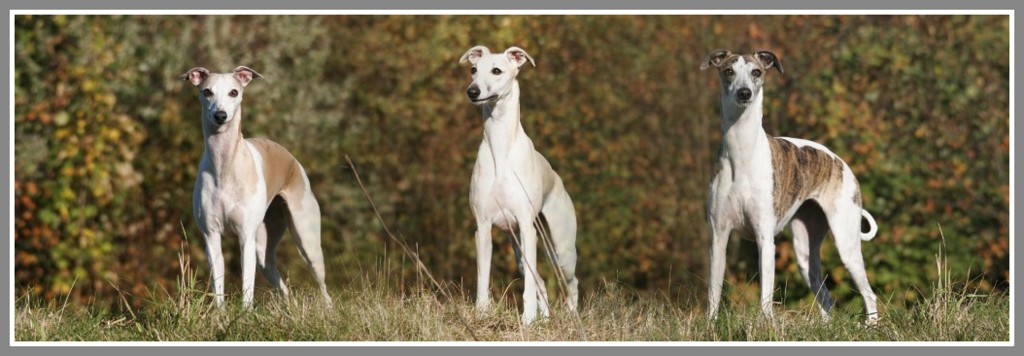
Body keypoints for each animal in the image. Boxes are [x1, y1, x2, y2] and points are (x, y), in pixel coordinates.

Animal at [460, 45, 581, 323]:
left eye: (497, 70)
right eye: (473, 69)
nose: (473, 91)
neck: (501, 149)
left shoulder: (526, 225)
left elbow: (528, 289)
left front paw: (527, 320)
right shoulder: (483, 228)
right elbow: (483, 279)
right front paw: (482, 314)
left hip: (561, 249)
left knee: (572, 284)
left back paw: (570, 317)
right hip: (520, 251)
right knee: (541, 283)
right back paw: (544, 319)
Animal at [704, 50, 880, 325]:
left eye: (756, 72)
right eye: (728, 71)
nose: (744, 93)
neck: (742, 153)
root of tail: (839, 161)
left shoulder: (765, 240)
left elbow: (765, 295)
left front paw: (766, 326)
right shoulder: (719, 238)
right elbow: (714, 293)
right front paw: (710, 327)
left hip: (846, 242)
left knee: (869, 294)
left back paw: (870, 327)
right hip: (805, 255)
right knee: (827, 299)